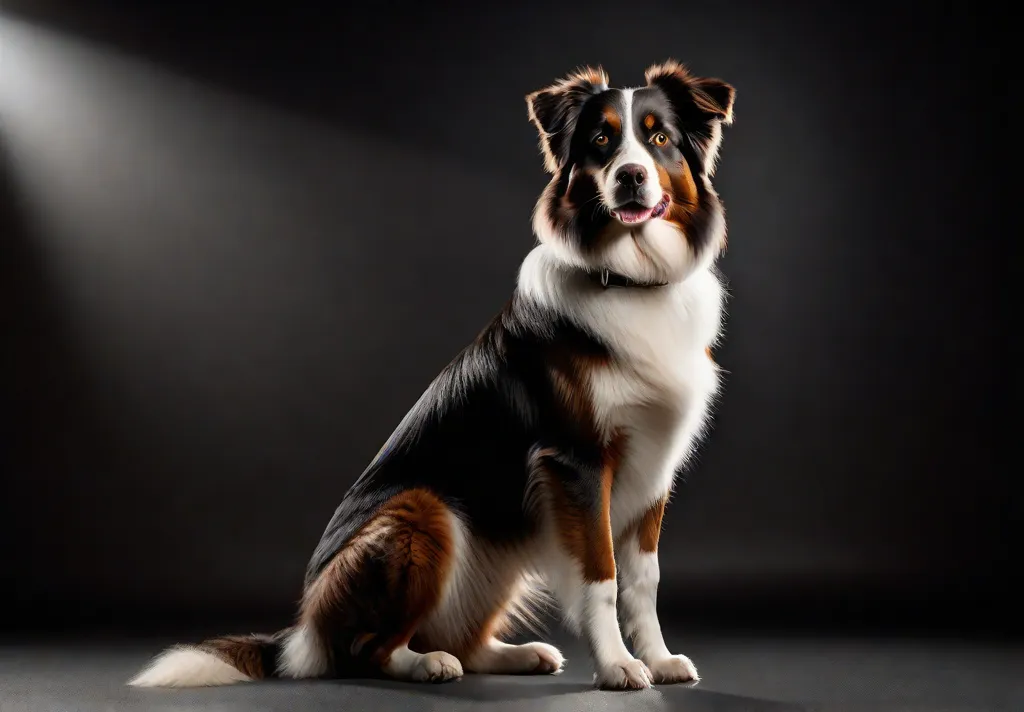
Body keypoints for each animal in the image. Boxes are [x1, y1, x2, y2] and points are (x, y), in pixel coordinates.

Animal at [128, 59, 737, 692]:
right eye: (601, 141)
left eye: (659, 139)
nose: (631, 177)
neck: (627, 280)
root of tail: (299, 633)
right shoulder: (578, 462)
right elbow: (602, 576)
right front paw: (619, 666)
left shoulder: (652, 466)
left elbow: (643, 580)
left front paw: (660, 660)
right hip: (425, 511)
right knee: (367, 649)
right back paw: (425, 664)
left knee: (461, 637)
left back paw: (516, 654)